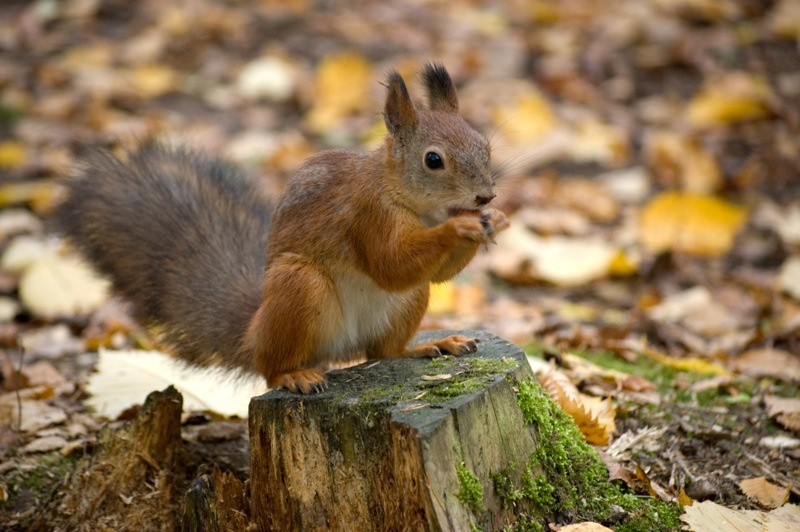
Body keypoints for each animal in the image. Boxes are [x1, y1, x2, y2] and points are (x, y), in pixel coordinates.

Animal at [53, 63, 509, 393]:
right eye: (433, 160)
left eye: (484, 145)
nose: (486, 197)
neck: (414, 203)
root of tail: (253, 334)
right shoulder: (366, 215)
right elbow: (390, 264)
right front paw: (462, 228)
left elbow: (438, 273)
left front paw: (494, 222)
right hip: (297, 287)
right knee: (271, 369)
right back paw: (293, 376)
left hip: (408, 302)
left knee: (383, 350)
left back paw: (429, 345)